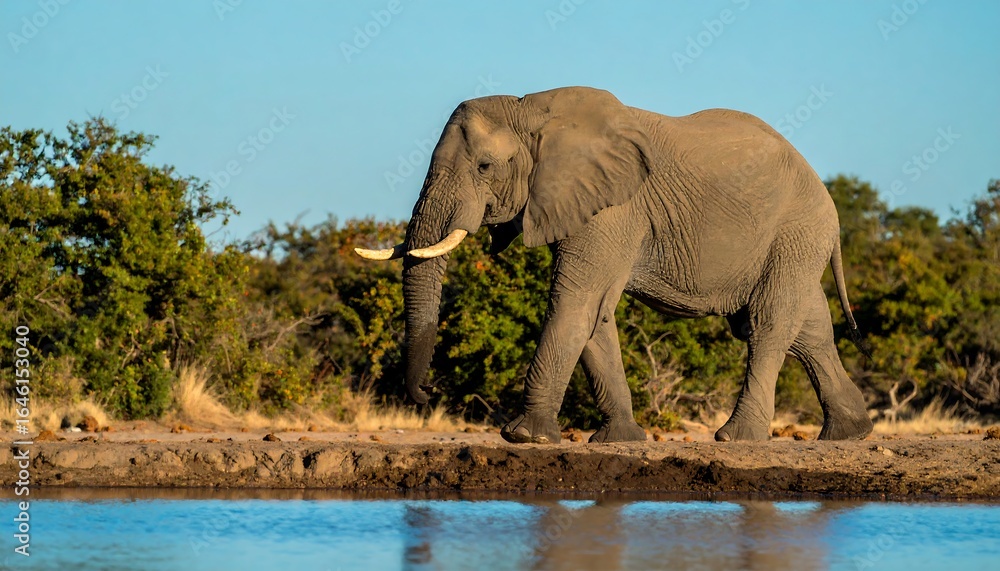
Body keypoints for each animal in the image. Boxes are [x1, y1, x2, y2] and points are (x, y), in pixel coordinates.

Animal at [355, 86, 873, 444]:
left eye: (484, 167)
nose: (426, 394)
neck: (532, 108)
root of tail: (823, 188)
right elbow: (596, 313)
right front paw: (618, 439)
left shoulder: (612, 209)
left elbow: (575, 302)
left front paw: (524, 437)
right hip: (792, 241)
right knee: (808, 329)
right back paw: (851, 433)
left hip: (796, 231)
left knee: (767, 325)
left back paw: (737, 438)